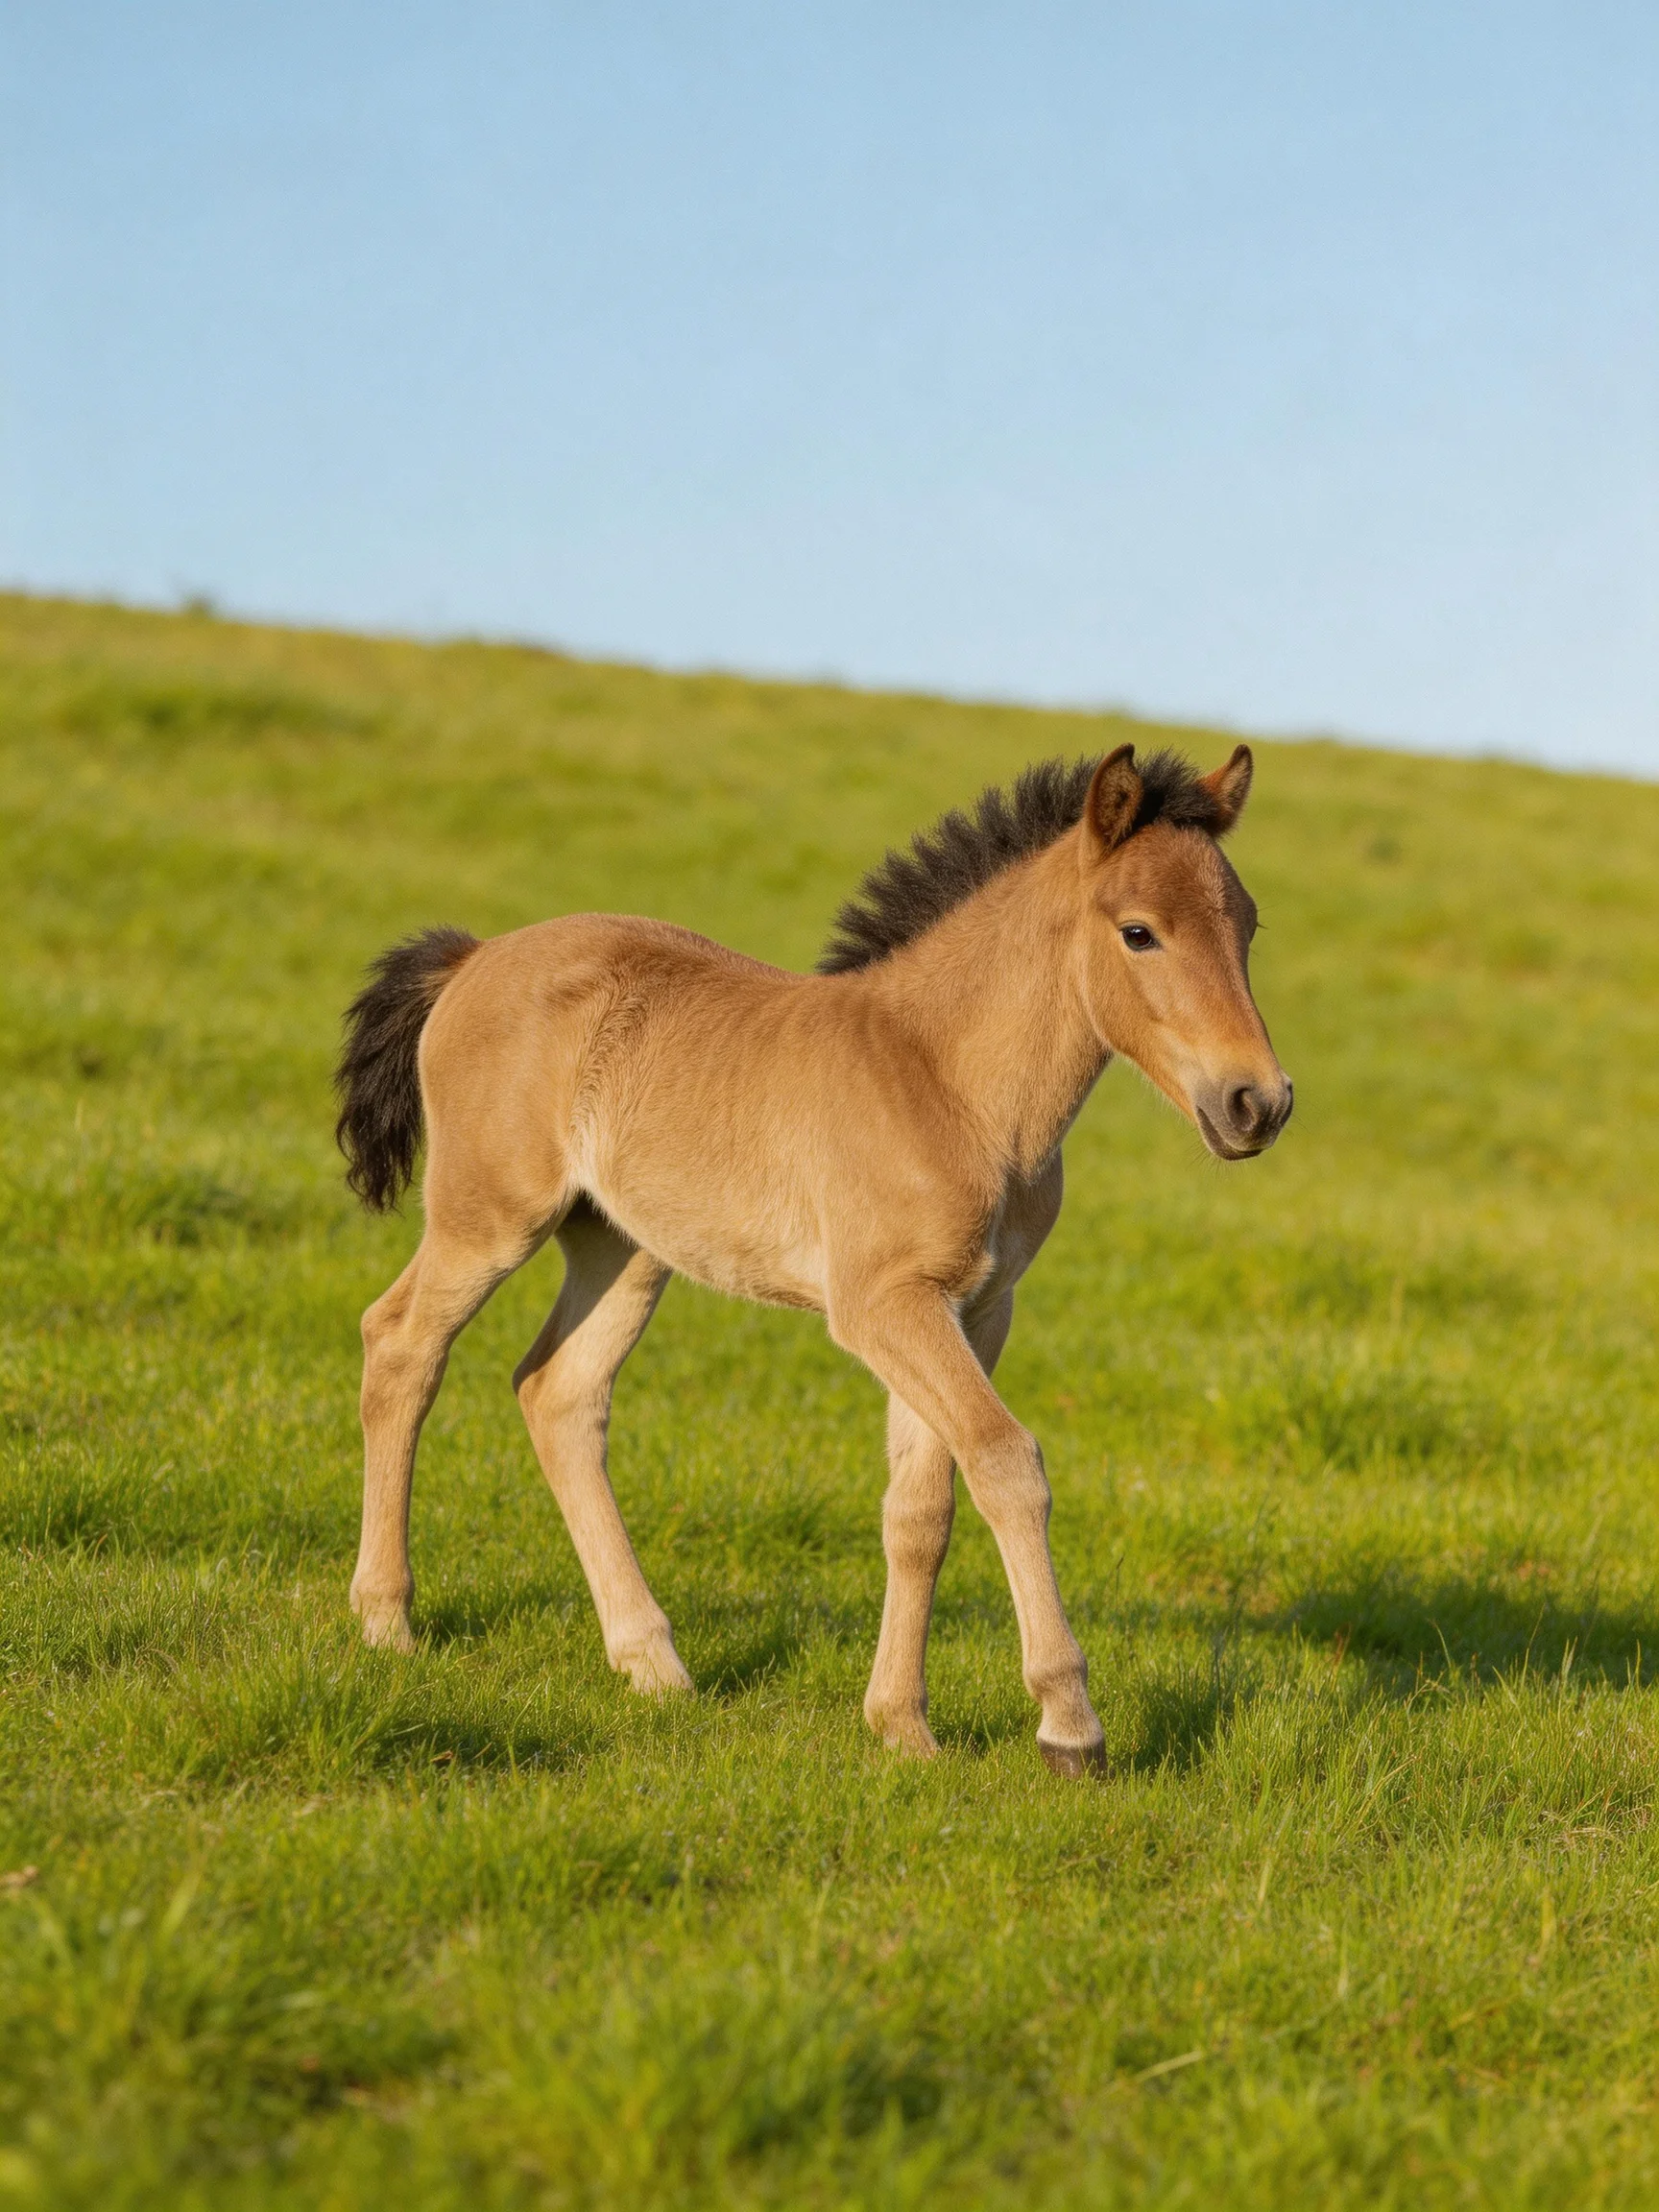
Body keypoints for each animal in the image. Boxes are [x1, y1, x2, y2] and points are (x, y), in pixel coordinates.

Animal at [334, 741, 1291, 1775]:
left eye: (1247, 922)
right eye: (1139, 932)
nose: (1258, 1103)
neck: (949, 1083)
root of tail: (473, 958)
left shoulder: (975, 1307)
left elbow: (921, 1510)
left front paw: (902, 1725)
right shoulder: (884, 1306)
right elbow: (1005, 1463)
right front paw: (1069, 1725)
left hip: (622, 1248)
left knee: (559, 1392)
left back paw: (652, 1664)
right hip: (491, 1215)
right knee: (401, 1344)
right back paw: (387, 1622)